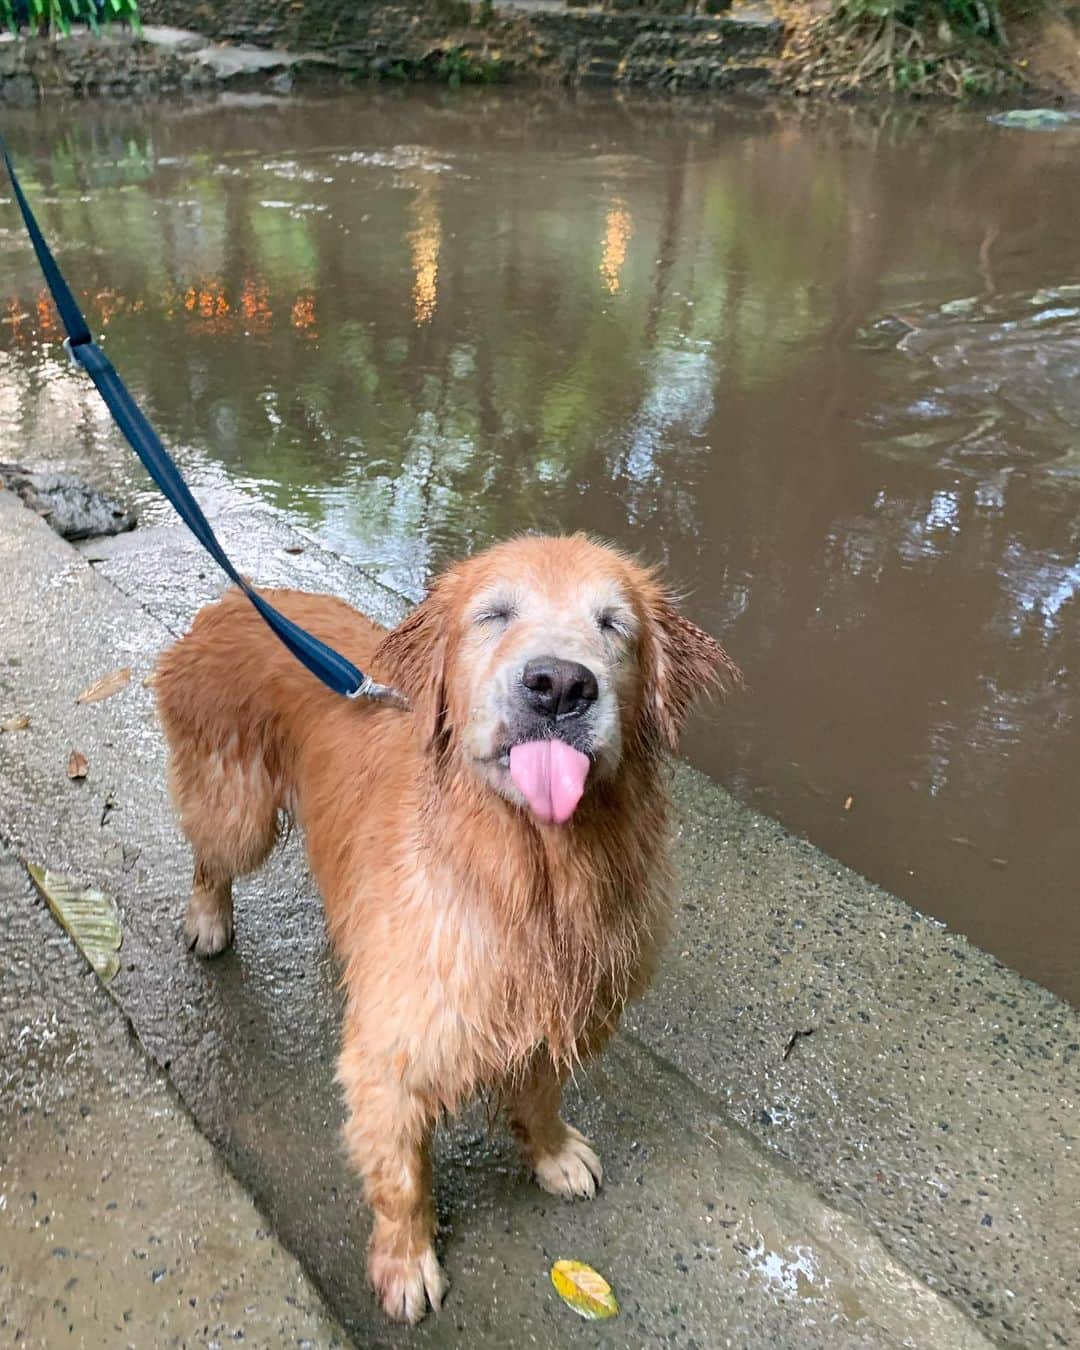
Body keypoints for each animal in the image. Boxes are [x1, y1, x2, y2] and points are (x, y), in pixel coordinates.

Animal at [153, 531, 745, 1323]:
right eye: (492, 614)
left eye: (614, 624)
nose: (560, 686)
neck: (532, 870)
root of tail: (240, 594)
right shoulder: (393, 1055)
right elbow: (402, 1180)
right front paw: (406, 1264)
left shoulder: (558, 1007)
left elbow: (541, 1094)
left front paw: (553, 1153)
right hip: (236, 809)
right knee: (209, 859)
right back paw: (208, 920)